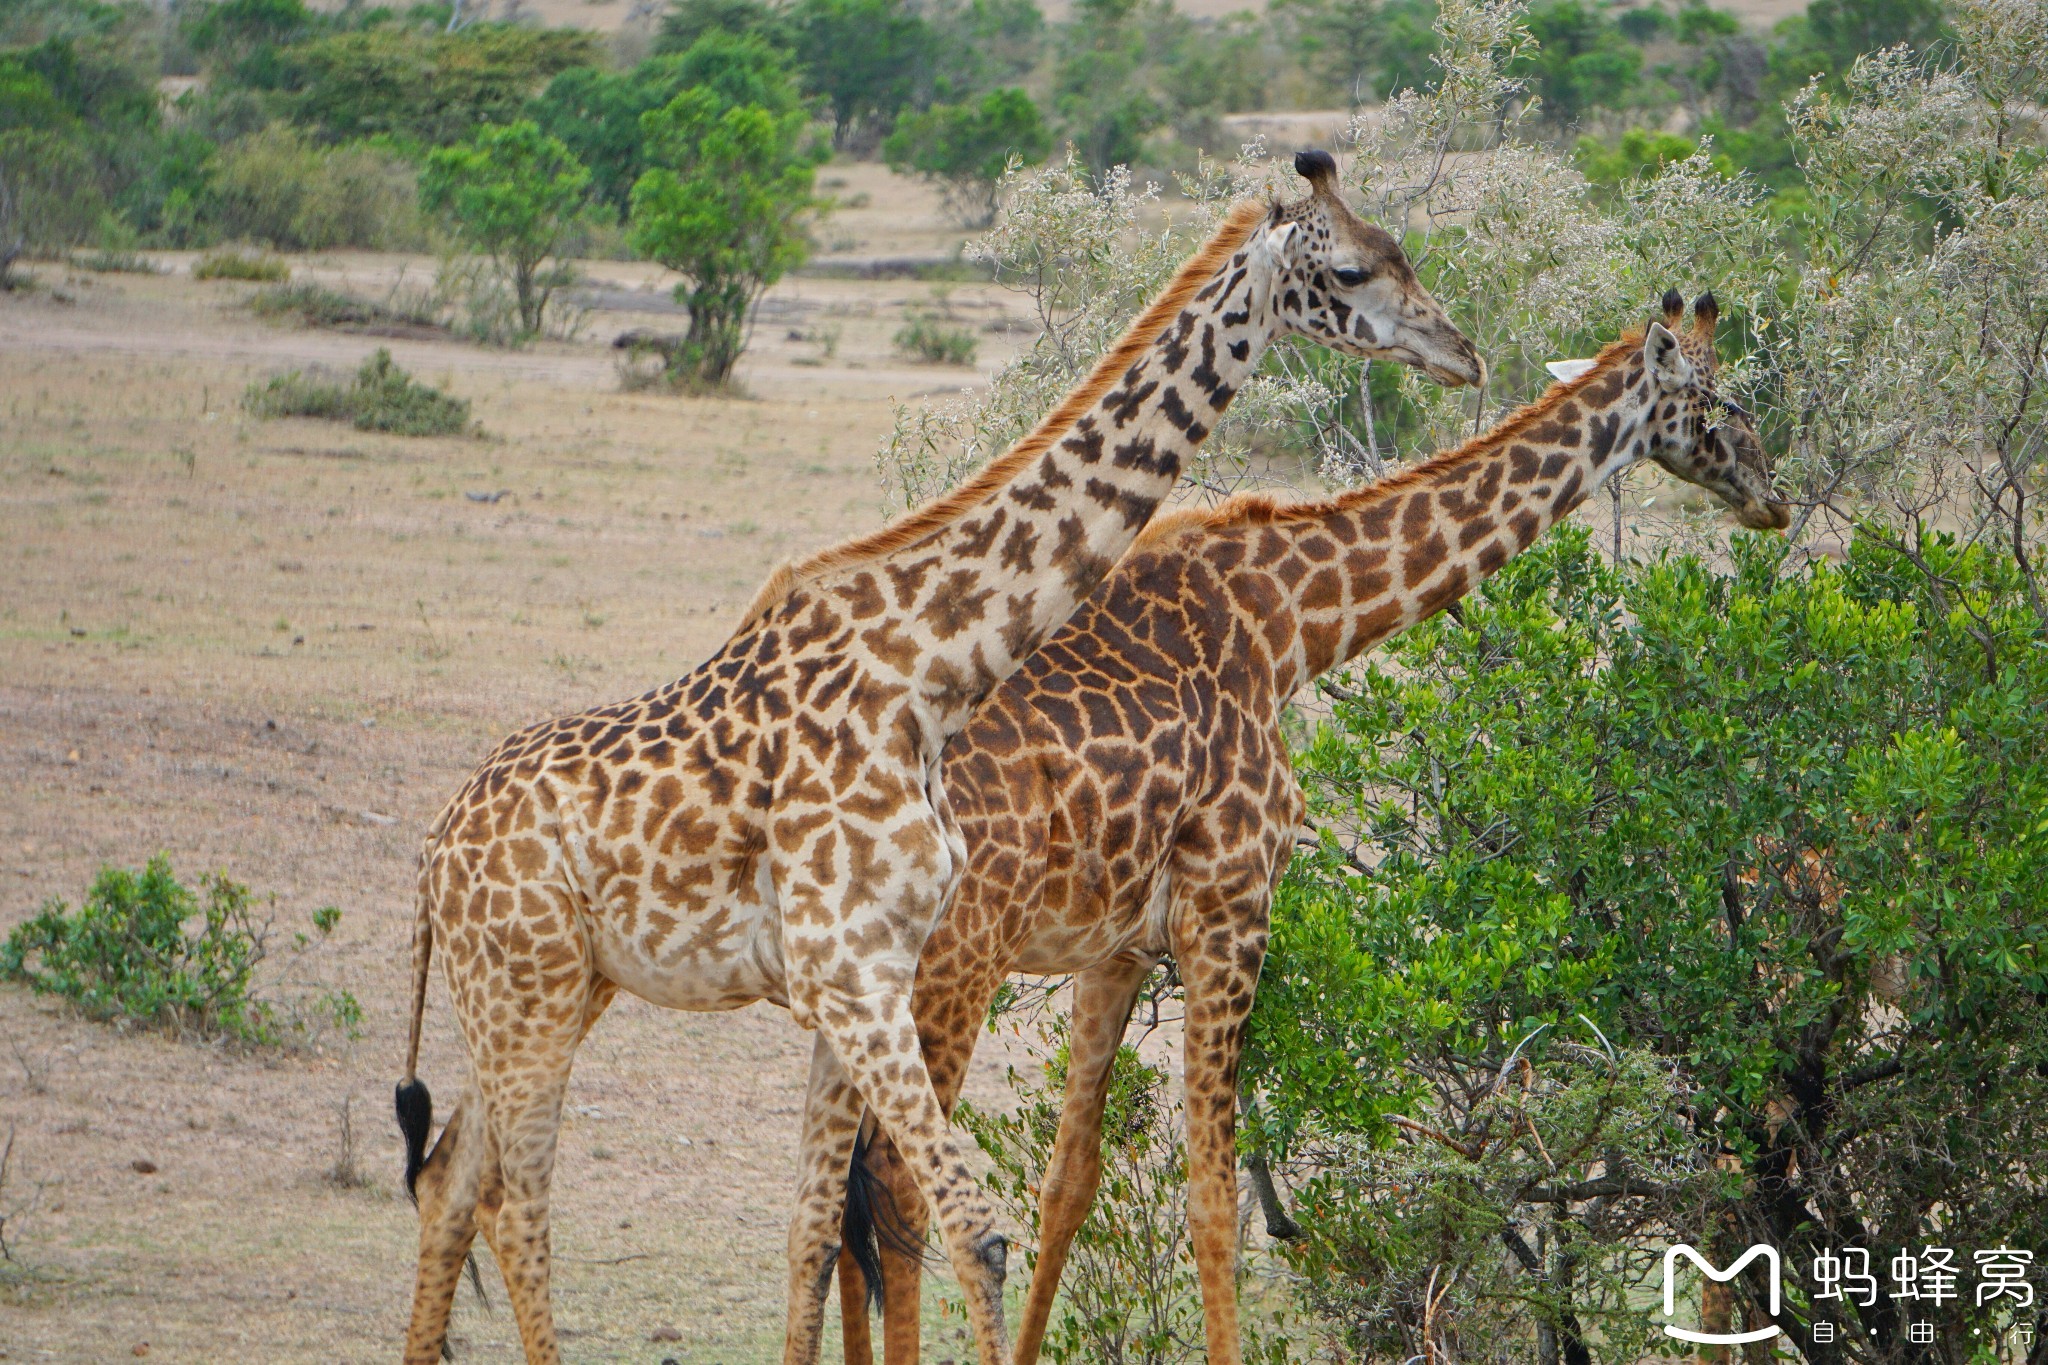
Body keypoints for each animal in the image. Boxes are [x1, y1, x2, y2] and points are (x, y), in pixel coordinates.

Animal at [391, 149, 1482, 1365]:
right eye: (1353, 268)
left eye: (1401, 251)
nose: (1460, 352)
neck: (923, 665)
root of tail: (433, 856)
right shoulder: (857, 971)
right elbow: (965, 1224)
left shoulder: (862, 977)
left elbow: (819, 1223)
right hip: (528, 993)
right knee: (515, 1201)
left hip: (542, 990)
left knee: (450, 1179)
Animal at [831, 288, 1794, 1365]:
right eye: (1725, 399)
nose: (1772, 496)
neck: (1292, 622)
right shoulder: (1230, 908)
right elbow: (1215, 1197)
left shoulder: (1119, 947)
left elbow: (1068, 1180)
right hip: (958, 966)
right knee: (896, 1187)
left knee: (831, 1208)